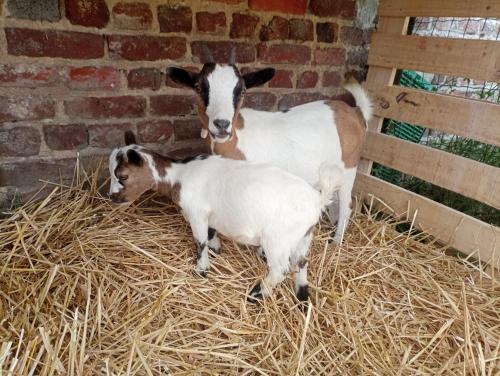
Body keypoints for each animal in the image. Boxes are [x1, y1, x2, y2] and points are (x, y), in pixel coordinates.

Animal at [108, 131, 344, 302]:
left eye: (123, 176)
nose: (111, 197)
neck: (179, 176)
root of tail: (317, 200)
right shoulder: (208, 214)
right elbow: (211, 232)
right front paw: (216, 247)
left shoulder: (196, 214)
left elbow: (200, 242)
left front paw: (201, 270)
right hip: (304, 235)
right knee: (302, 262)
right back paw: (302, 296)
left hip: (277, 239)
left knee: (280, 269)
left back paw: (257, 294)